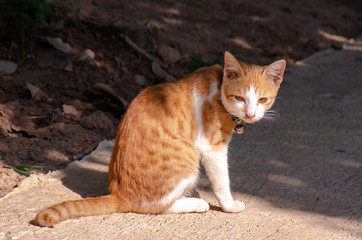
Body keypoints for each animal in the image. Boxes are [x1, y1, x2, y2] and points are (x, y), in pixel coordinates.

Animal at [35, 51, 288, 227]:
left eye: (263, 100)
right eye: (239, 98)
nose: (250, 114)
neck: (218, 89)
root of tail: (120, 193)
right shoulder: (212, 148)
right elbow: (222, 181)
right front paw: (229, 205)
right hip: (188, 156)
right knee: (156, 207)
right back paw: (196, 202)